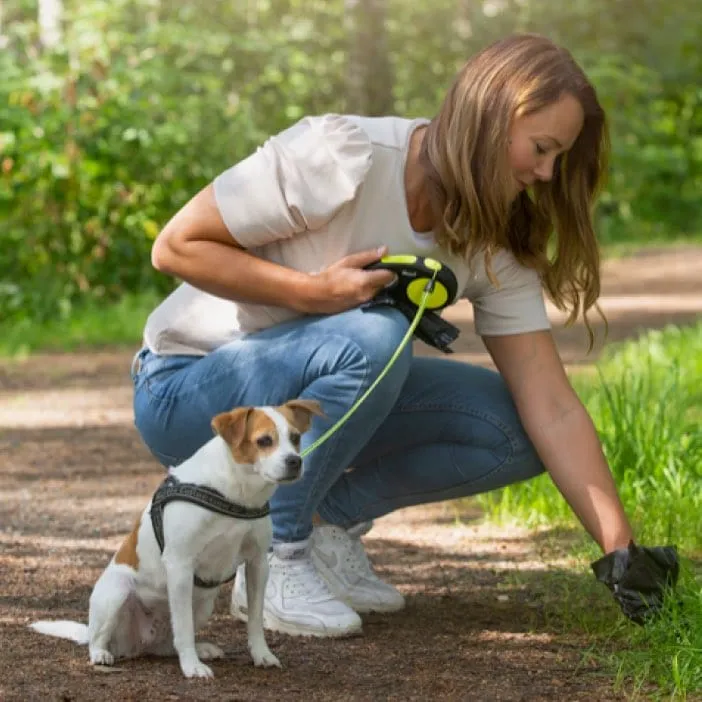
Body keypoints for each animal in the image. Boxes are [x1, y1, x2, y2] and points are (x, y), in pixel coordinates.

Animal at [28, 398, 324, 680]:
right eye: (264, 440)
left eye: (295, 437)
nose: (295, 461)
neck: (234, 491)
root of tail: (141, 643)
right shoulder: (181, 566)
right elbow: (182, 627)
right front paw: (192, 667)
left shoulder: (257, 564)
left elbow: (254, 620)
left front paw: (262, 654)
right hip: (116, 593)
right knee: (101, 639)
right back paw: (101, 653)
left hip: (203, 604)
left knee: (170, 643)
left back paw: (201, 648)